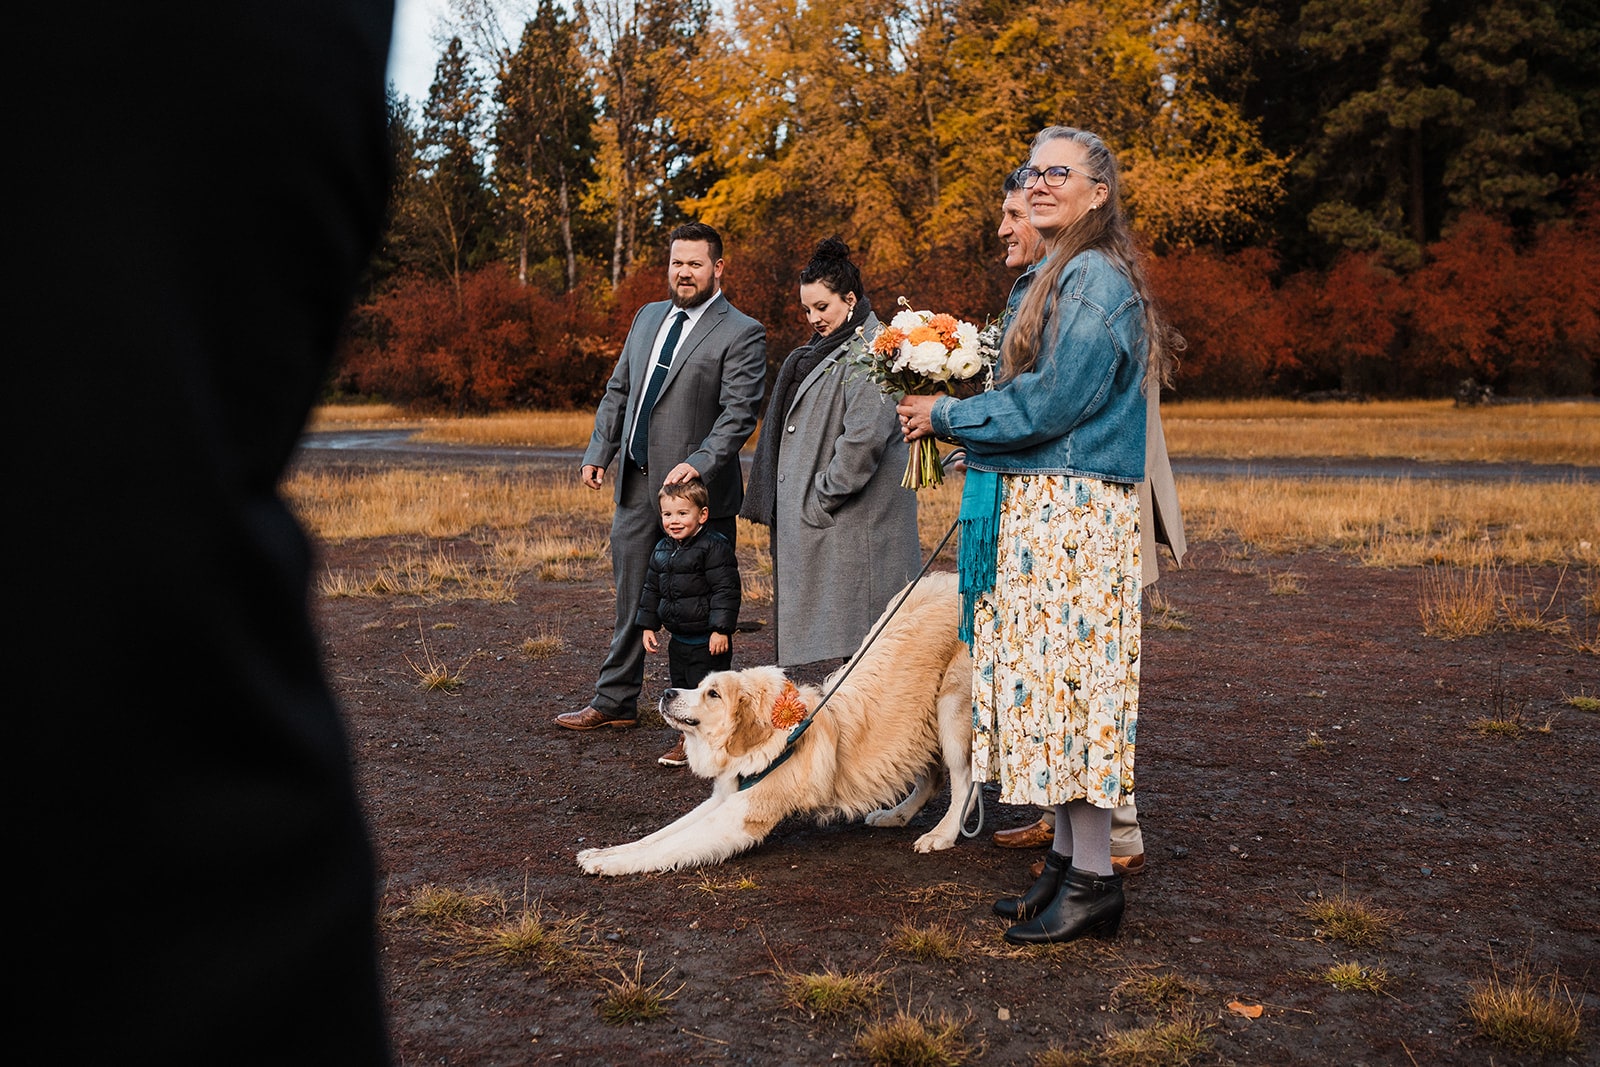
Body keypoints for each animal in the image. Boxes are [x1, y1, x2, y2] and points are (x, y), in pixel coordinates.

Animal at [579, 572, 972, 883]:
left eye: (713, 694)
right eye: (699, 685)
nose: (667, 692)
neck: (772, 735)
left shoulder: (744, 813)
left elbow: (671, 845)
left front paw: (611, 864)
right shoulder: (725, 796)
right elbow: (659, 836)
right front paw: (605, 853)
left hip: (951, 712)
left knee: (965, 781)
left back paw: (942, 835)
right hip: (919, 729)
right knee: (933, 778)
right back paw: (897, 815)